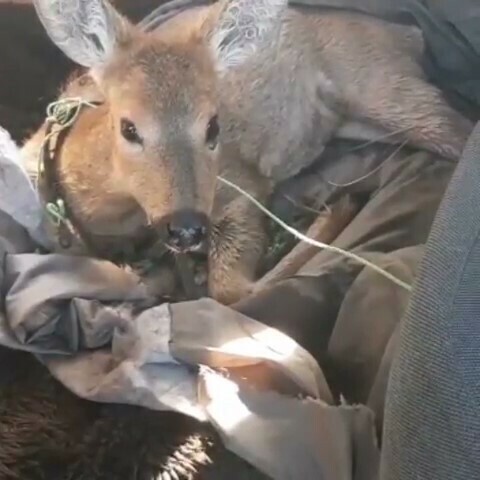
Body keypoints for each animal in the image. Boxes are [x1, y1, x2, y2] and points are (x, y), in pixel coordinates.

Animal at [21, 0, 472, 304]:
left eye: (213, 125)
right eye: (129, 127)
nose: (186, 227)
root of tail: (409, 34)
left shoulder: (238, 185)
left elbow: (229, 290)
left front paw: (332, 215)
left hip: (387, 88)